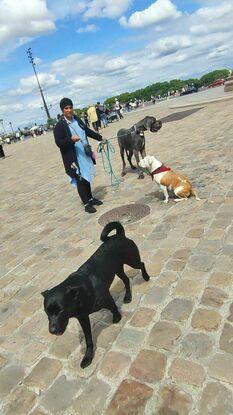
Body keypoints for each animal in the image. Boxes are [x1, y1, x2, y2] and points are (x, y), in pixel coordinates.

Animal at [41, 223, 150, 368]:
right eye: (47, 312)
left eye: (60, 310)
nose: (52, 331)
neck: (79, 294)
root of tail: (119, 235)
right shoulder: (83, 319)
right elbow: (88, 339)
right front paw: (88, 357)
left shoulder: (106, 298)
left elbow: (113, 307)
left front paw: (117, 317)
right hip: (118, 269)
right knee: (126, 280)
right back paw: (127, 296)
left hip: (132, 260)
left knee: (142, 264)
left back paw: (146, 277)